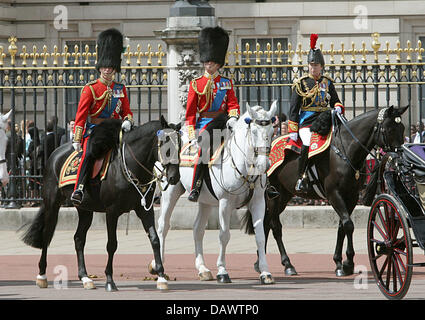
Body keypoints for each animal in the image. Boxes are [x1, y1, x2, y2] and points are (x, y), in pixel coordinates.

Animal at [21, 116, 181, 292]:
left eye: (180, 145)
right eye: (166, 145)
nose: (174, 177)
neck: (129, 166)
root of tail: (54, 154)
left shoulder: (145, 209)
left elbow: (154, 239)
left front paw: (161, 276)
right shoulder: (112, 211)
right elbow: (112, 245)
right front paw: (110, 281)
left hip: (85, 209)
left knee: (78, 239)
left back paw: (85, 277)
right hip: (52, 204)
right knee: (47, 235)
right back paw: (42, 276)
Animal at [151, 101, 276, 284]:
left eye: (272, 132)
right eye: (253, 132)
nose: (263, 165)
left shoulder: (258, 202)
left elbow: (260, 236)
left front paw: (265, 272)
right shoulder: (225, 203)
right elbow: (224, 235)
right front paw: (223, 271)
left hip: (205, 200)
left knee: (197, 229)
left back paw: (202, 269)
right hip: (170, 193)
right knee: (163, 226)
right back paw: (157, 265)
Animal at [255, 106, 408, 276]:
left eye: (402, 128)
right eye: (389, 129)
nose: (400, 158)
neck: (345, 150)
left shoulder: (352, 196)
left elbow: (342, 226)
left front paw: (340, 262)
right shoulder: (334, 194)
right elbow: (348, 224)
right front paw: (347, 263)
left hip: (283, 195)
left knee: (266, 223)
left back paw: (260, 263)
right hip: (273, 195)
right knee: (275, 226)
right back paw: (287, 264)